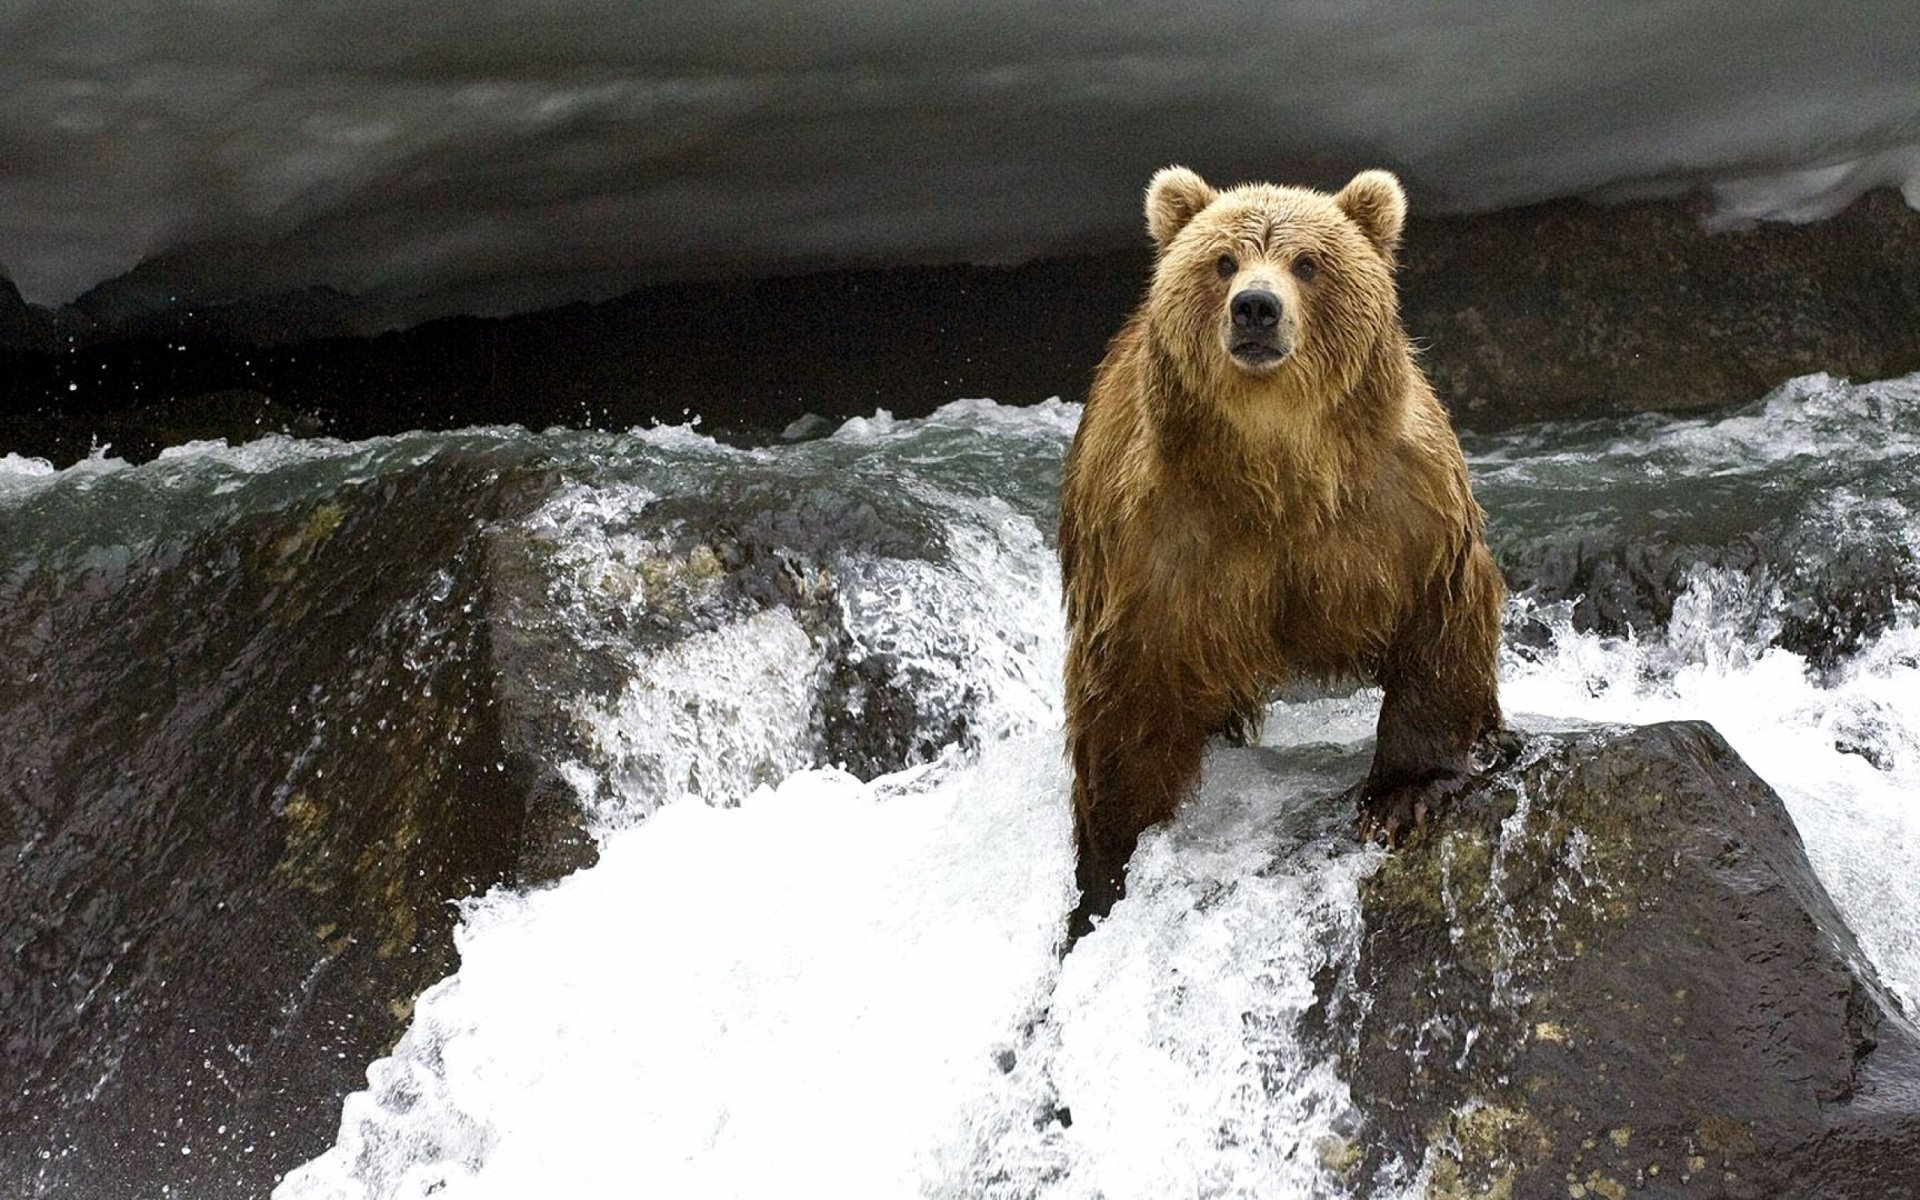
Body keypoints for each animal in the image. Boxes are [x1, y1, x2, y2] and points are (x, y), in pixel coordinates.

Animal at [1058, 166, 1504, 938]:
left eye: (1307, 262)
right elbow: (1126, 699)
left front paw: (1402, 796)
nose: (1256, 309)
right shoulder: (1157, 542)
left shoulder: (1400, 505)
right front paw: (1107, 866)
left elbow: (1439, 621)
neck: (1277, 469)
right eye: (1223, 260)